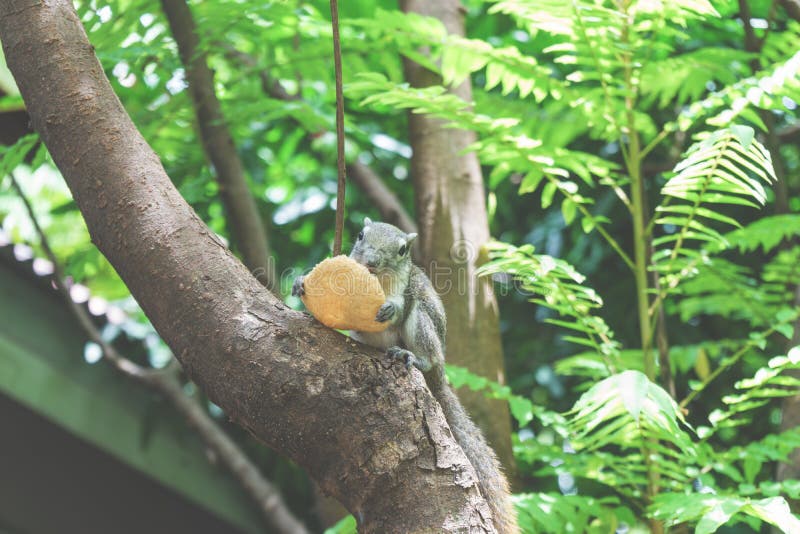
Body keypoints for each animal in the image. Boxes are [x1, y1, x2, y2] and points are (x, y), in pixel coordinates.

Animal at [293, 218, 517, 533]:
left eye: (402, 250)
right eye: (360, 236)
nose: (371, 262)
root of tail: (439, 374)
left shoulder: (405, 289)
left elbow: (399, 307)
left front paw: (391, 309)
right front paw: (301, 284)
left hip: (424, 328)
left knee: (423, 342)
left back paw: (413, 357)